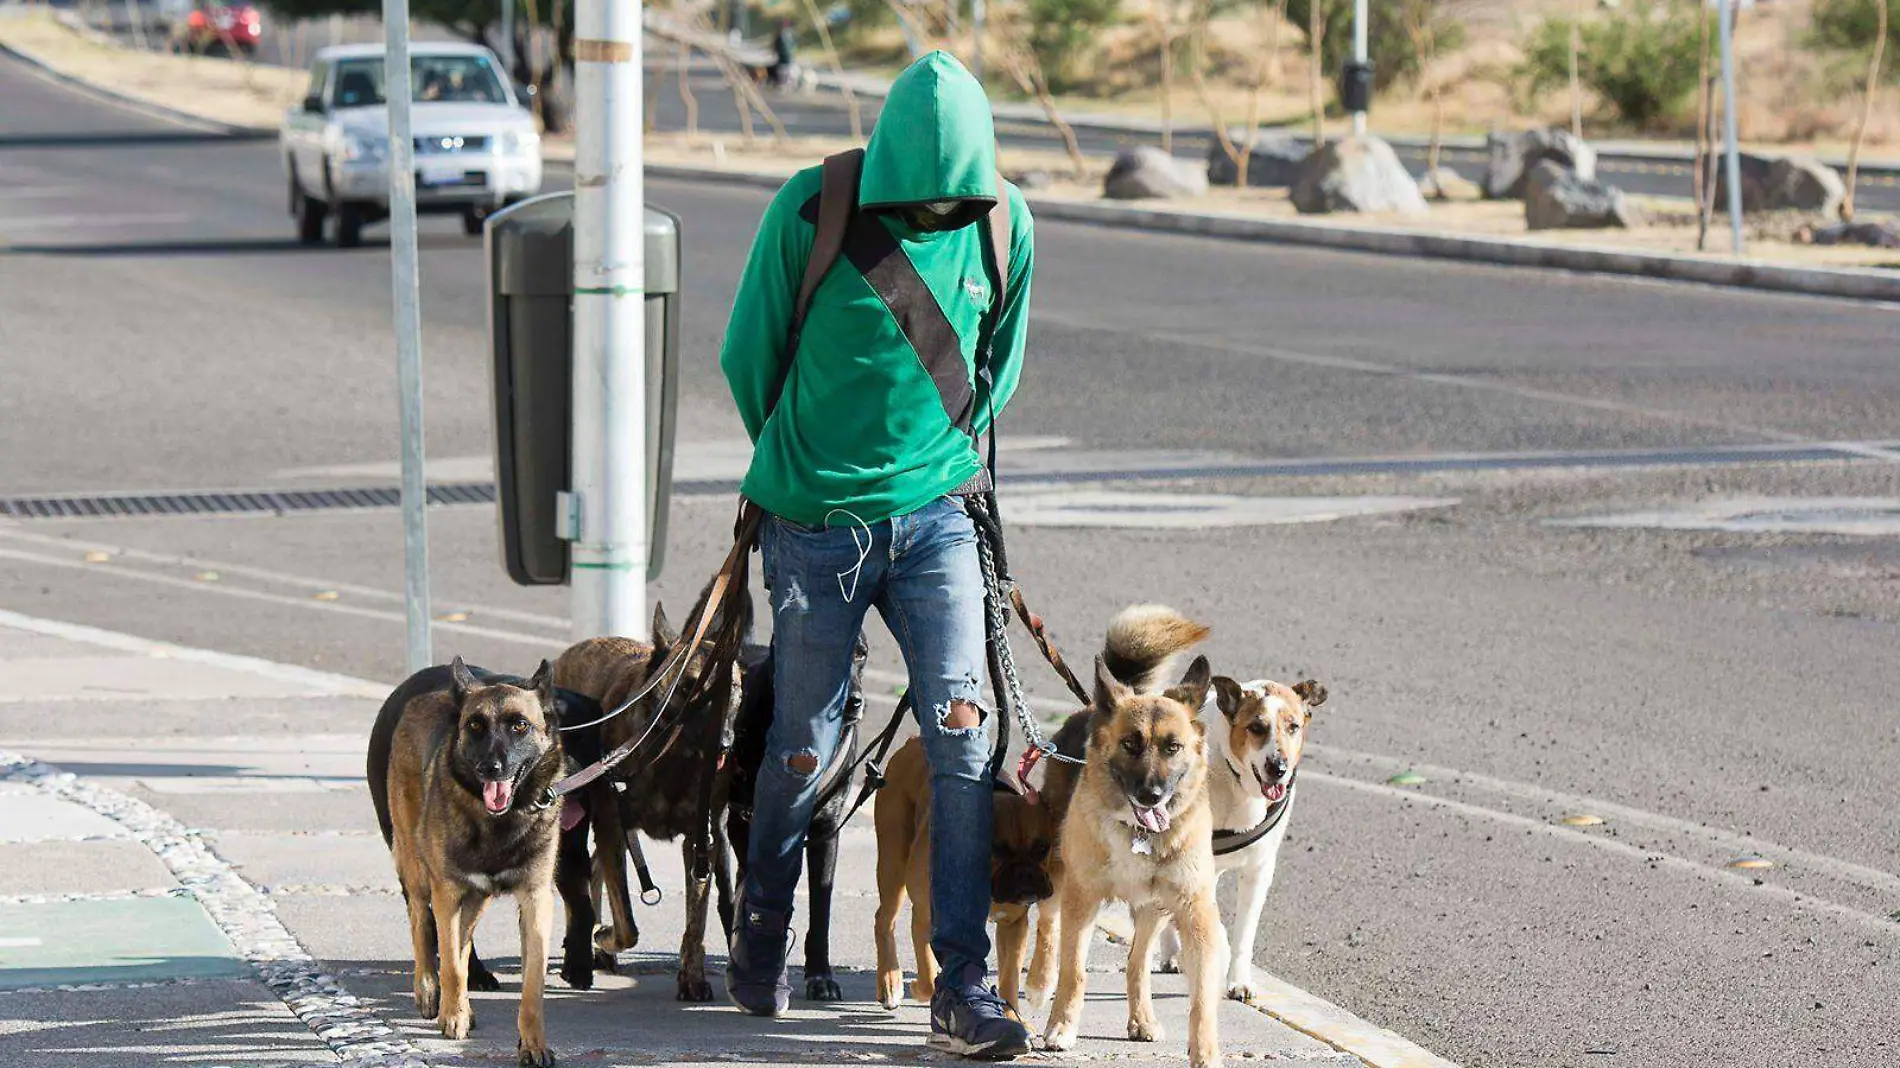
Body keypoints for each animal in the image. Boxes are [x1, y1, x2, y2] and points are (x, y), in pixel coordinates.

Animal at [870, 729, 1056, 1003]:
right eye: (997, 849)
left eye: (1042, 848)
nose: (1025, 872)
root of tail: (914, 741)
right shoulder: (932, 919)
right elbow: (928, 975)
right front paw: (921, 987)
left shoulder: (1013, 927)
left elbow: (1009, 980)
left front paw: (1010, 1012)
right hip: (893, 862)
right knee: (885, 919)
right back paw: (890, 982)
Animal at [1033, 604, 1223, 1064]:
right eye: (1131, 744)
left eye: (1173, 747)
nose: (1151, 795)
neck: (1139, 833)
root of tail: (1091, 708)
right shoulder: (1082, 899)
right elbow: (1074, 970)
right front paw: (1062, 1027)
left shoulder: (1195, 913)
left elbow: (1202, 997)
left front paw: (1205, 1051)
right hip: (1057, 876)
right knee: (1047, 930)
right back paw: (1038, 984)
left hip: (1153, 910)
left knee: (1137, 963)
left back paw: (1142, 1018)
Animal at [1147, 672, 1330, 995]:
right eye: (1256, 727)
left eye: (1293, 726)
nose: (1278, 768)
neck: (1238, 786)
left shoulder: (1259, 869)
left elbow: (1245, 930)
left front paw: (1239, 981)